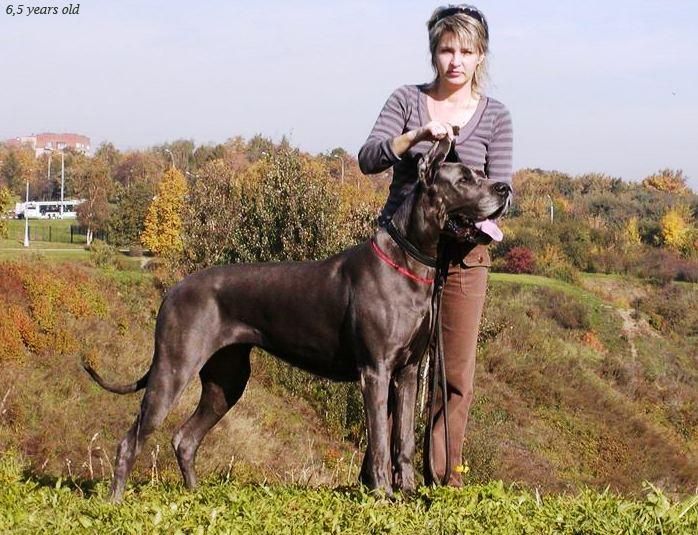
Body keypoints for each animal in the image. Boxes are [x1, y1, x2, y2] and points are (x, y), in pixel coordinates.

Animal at [85, 138, 511, 501]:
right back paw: (115, 502)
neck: (410, 261)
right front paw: (382, 495)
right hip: (173, 369)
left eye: (480, 172)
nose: (504, 188)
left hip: (227, 380)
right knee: (131, 440)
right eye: (464, 179)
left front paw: (407, 494)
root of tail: (173, 288)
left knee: (184, 439)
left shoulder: (406, 373)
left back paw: (194, 497)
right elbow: (379, 441)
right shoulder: (375, 371)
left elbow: (403, 439)